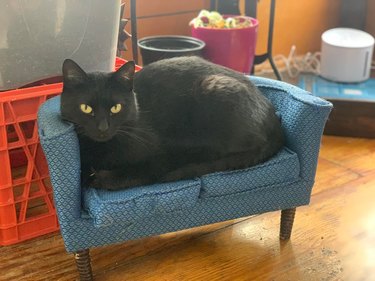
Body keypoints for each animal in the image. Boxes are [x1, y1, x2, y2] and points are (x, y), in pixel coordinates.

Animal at [61, 55, 284, 189]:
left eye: (116, 108)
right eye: (86, 108)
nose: (102, 128)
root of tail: (275, 120)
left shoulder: (157, 158)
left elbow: (134, 173)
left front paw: (101, 178)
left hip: (213, 91)